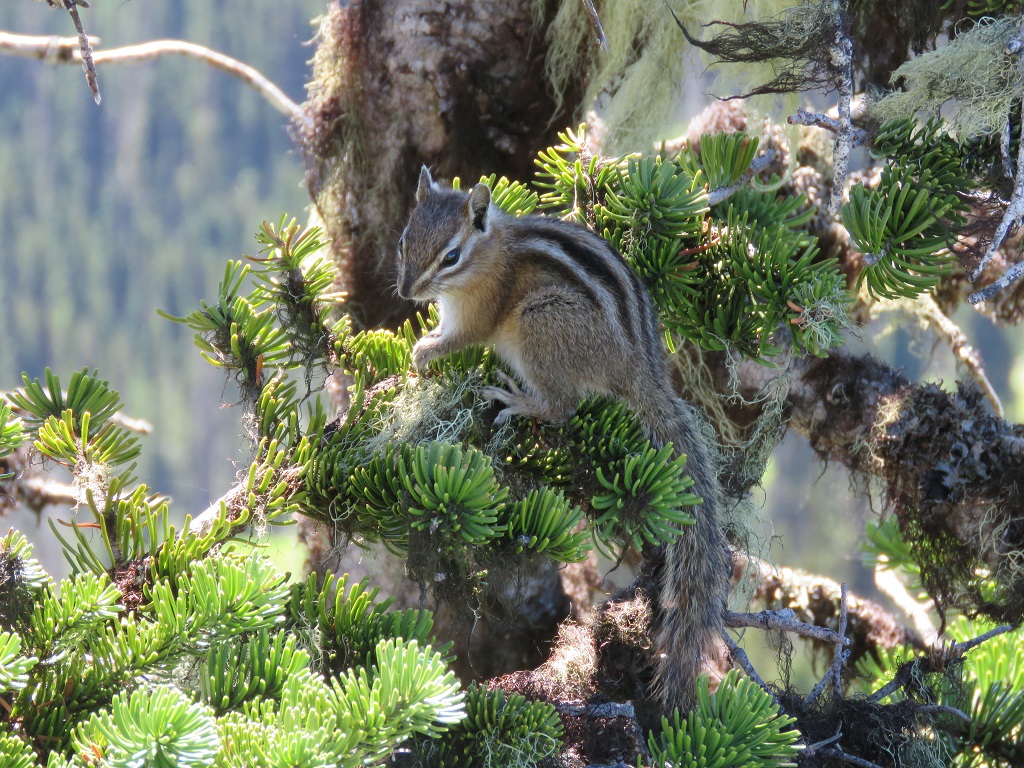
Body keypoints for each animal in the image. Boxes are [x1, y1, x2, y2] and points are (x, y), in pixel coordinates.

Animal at [397, 166, 730, 714]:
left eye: (451, 256)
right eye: (405, 238)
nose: (405, 293)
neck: (490, 254)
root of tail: (637, 368)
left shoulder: (481, 312)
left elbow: (460, 340)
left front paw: (422, 352)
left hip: (539, 322)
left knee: (563, 406)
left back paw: (517, 398)